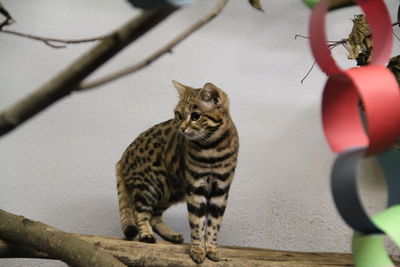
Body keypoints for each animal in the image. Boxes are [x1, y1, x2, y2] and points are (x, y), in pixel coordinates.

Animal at [117, 80, 239, 264]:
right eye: (179, 115)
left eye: (195, 116)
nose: (181, 128)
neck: (211, 147)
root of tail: (122, 158)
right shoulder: (196, 187)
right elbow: (197, 223)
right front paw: (198, 250)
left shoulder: (221, 189)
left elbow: (213, 224)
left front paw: (211, 248)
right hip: (151, 185)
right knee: (141, 212)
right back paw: (146, 235)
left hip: (172, 190)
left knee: (155, 215)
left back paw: (171, 235)